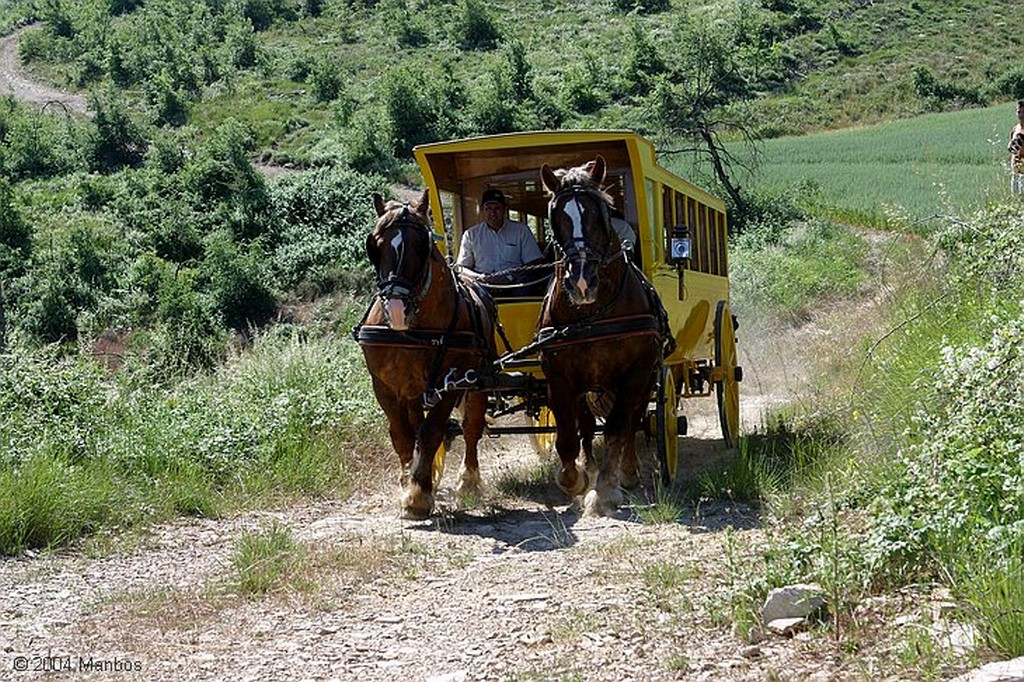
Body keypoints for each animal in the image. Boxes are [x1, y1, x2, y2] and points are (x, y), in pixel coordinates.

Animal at [354, 188, 497, 518]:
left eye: (422, 246)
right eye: (375, 245)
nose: (396, 308)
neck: (416, 331)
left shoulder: (451, 382)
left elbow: (432, 431)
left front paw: (418, 494)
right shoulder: (384, 386)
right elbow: (403, 434)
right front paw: (410, 480)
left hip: (479, 382)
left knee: (472, 428)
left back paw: (468, 481)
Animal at [536, 155, 671, 516]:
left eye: (600, 214)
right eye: (555, 217)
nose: (582, 282)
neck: (592, 314)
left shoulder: (636, 373)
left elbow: (617, 428)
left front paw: (606, 490)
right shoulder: (560, 377)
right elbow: (567, 436)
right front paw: (575, 480)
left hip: (643, 379)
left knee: (633, 421)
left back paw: (628, 471)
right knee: (584, 427)